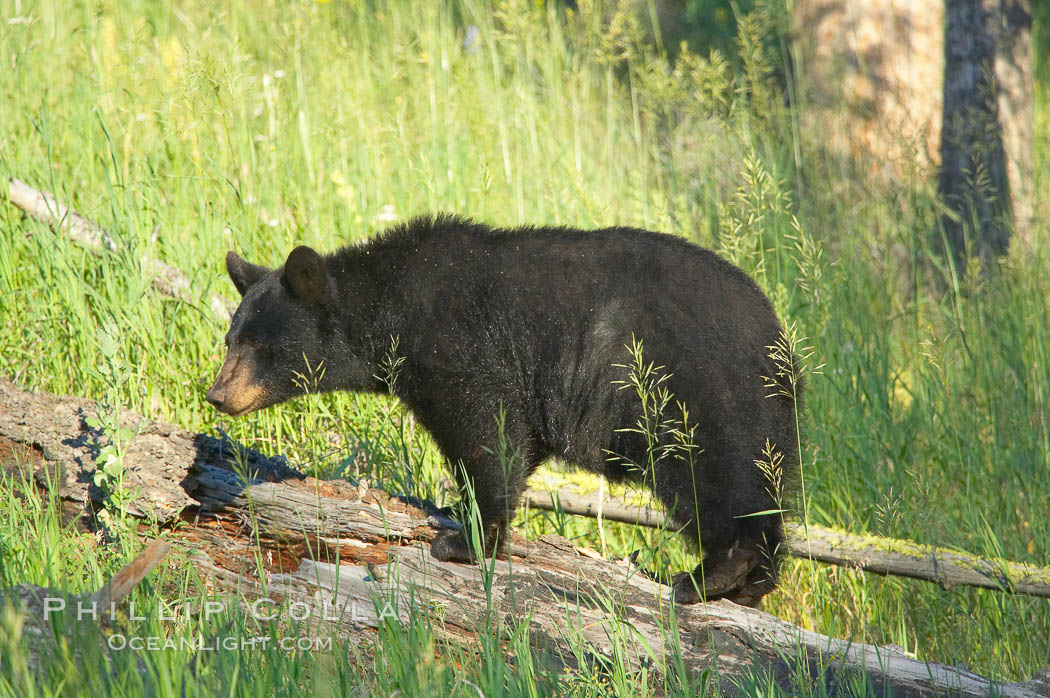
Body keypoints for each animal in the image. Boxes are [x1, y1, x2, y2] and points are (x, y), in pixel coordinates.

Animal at [202, 216, 793, 604]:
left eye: (257, 346)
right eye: (230, 340)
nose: (218, 395)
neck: (393, 305)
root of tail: (776, 337)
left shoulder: (462, 348)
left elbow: (487, 434)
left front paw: (463, 540)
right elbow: (512, 445)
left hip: (686, 390)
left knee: (707, 475)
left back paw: (709, 576)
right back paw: (752, 583)